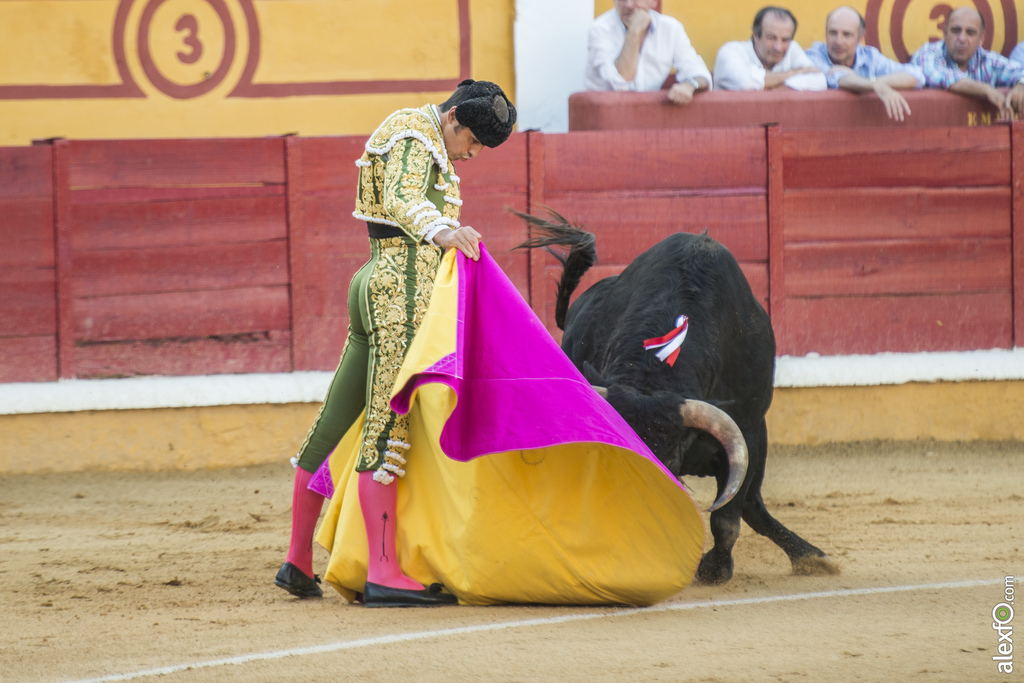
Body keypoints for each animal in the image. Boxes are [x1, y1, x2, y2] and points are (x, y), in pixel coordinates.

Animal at [516, 216, 835, 585]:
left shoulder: (750, 430)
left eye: (666, 462)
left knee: (751, 503)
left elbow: (727, 517)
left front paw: (713, 569)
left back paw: (812, 557)